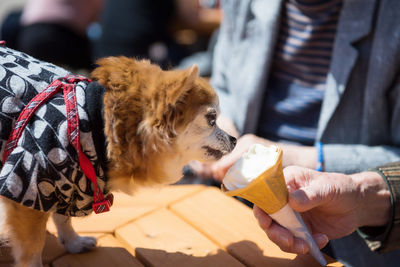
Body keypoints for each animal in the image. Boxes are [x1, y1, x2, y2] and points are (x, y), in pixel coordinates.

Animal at [0, 46, 236, 267]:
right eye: (212, 119)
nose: (234, 139)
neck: (93, 124)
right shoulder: (29, 185)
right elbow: (32, 249)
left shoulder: (65, 183)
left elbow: (62, 217)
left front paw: (73, 242)